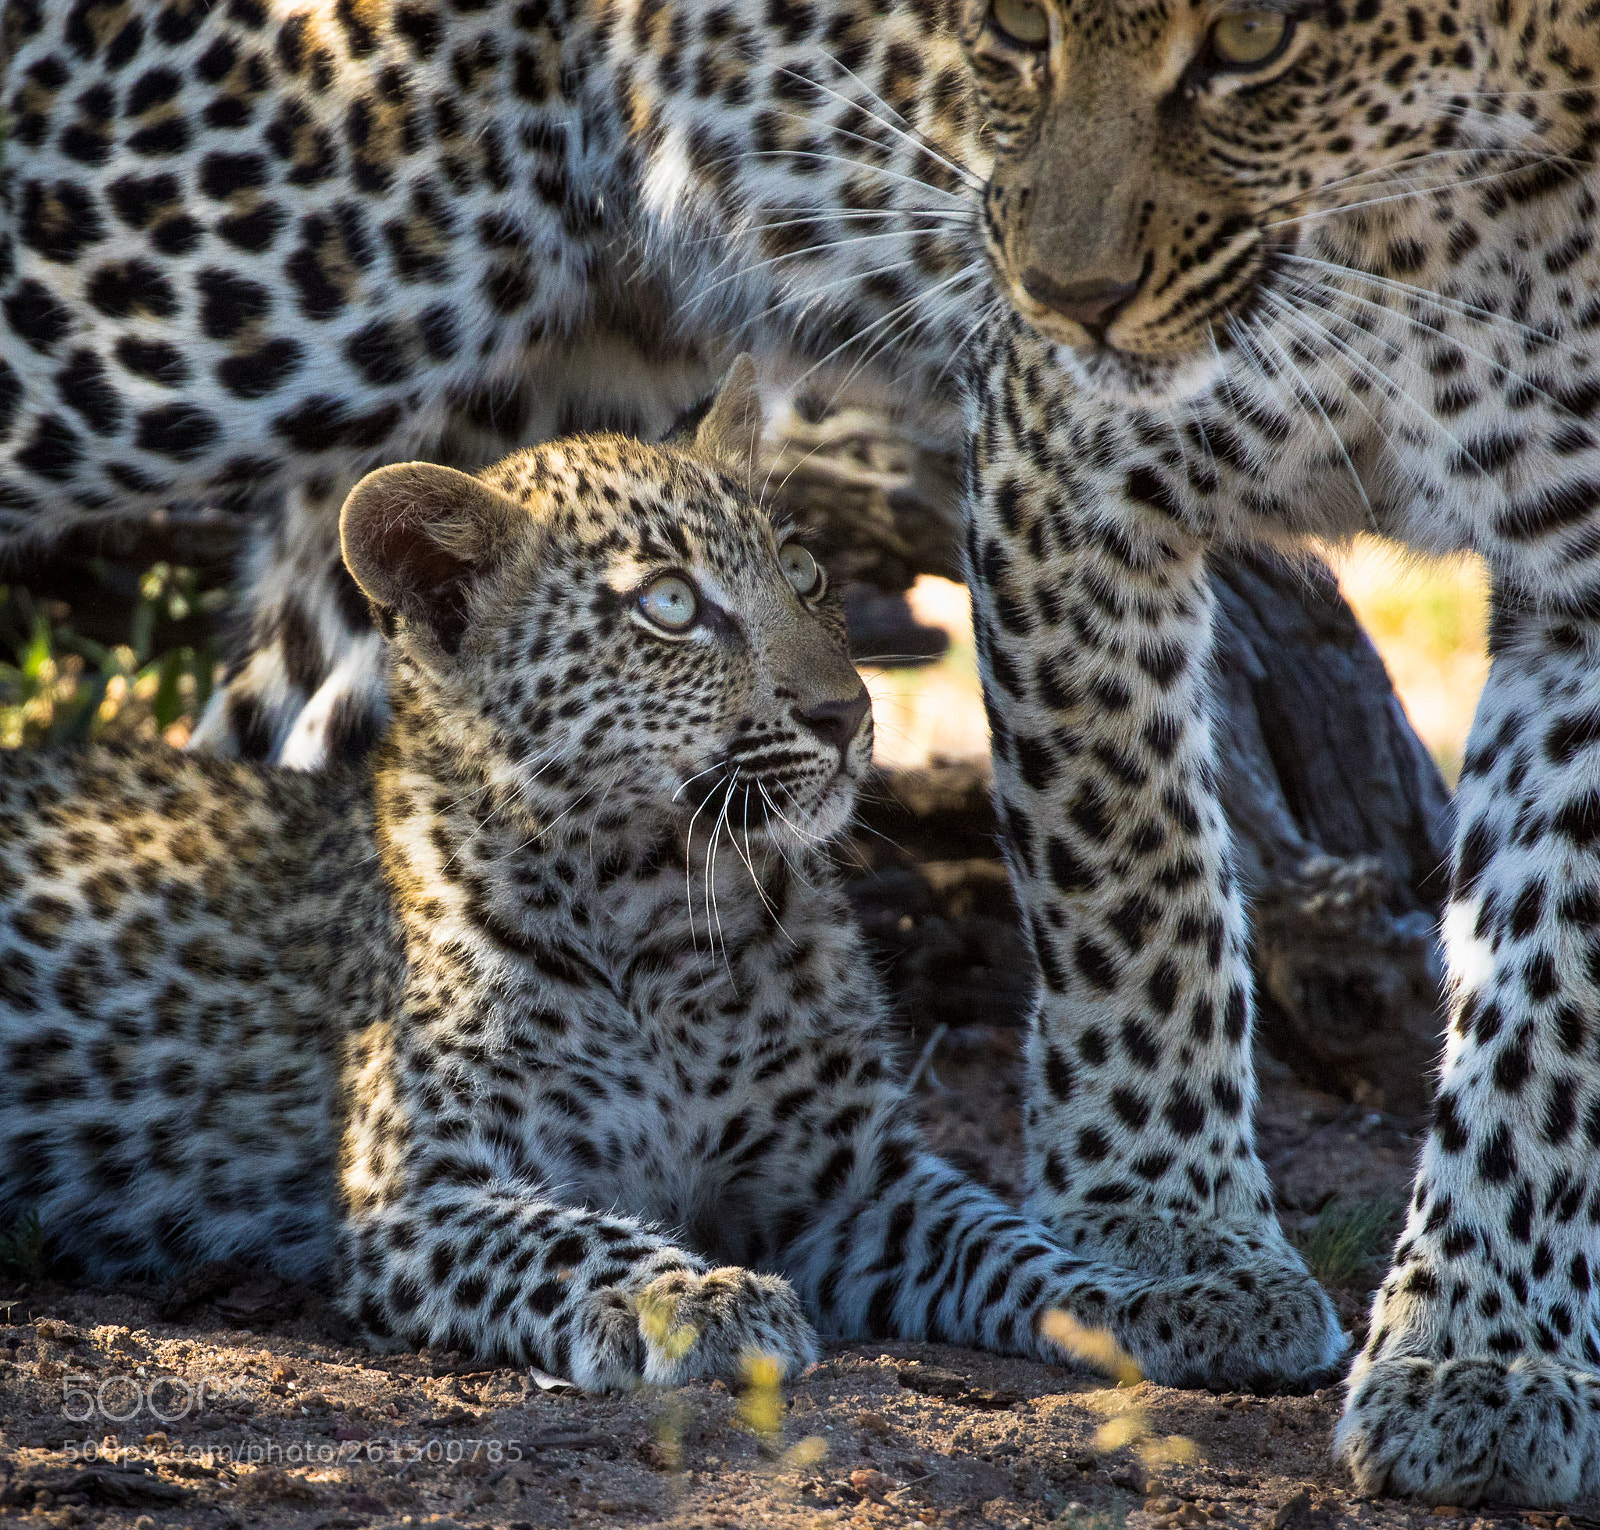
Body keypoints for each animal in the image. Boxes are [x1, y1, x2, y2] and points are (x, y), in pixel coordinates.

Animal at [0, 361, 1343, 1392]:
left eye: (805, 572)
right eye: (670, 607)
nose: (846, 714)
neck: (661, 908)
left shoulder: (850, 1185)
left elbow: (1011, 1247)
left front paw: (1182, 1297)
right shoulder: (420, 1193)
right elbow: (571, 1239)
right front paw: (696, 1298)